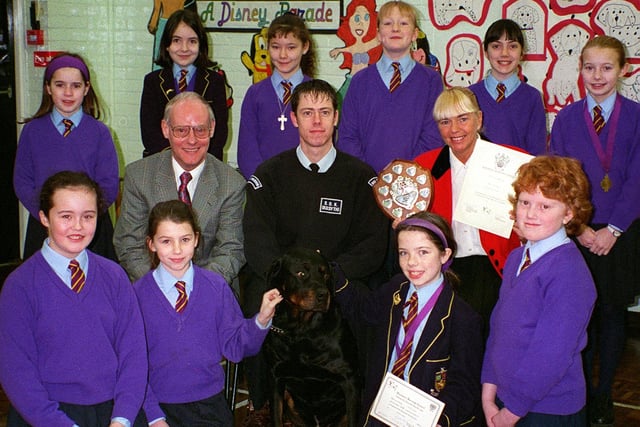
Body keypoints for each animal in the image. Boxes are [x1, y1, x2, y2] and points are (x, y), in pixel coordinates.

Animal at [262, 247, 360, 427]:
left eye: (325, 275)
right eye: (300, 273)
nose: (323, 295)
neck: (301, 330)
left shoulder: (349, 379)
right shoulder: (275, 376)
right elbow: (276, 417)